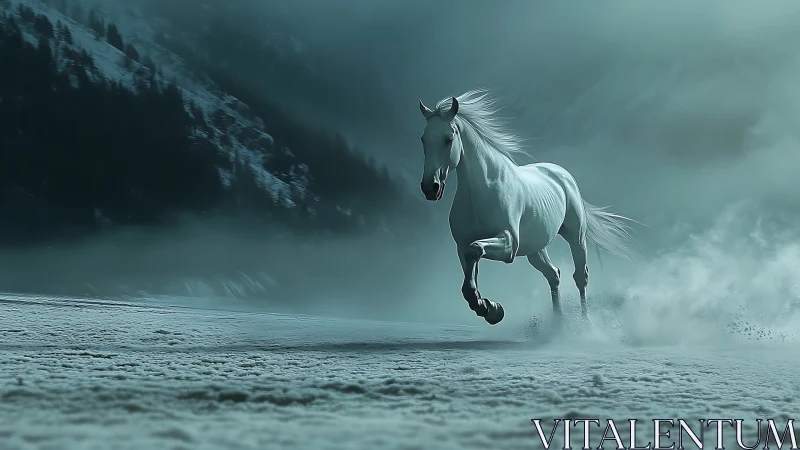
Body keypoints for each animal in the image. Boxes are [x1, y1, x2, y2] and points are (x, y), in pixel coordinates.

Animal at [417, 89, 640, 325]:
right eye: (423, 139)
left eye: (448, 139)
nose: (430, 188)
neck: (482, 190)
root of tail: (562, 175)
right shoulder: (462, 246)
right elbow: (470, 270)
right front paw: (489, 308)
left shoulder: (509, 244)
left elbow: (476, 249)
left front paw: (489, 307)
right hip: (536, 249)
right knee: (553, 274)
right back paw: (558, 324)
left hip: (576, 237)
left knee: (580, 276)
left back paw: (585, 323)